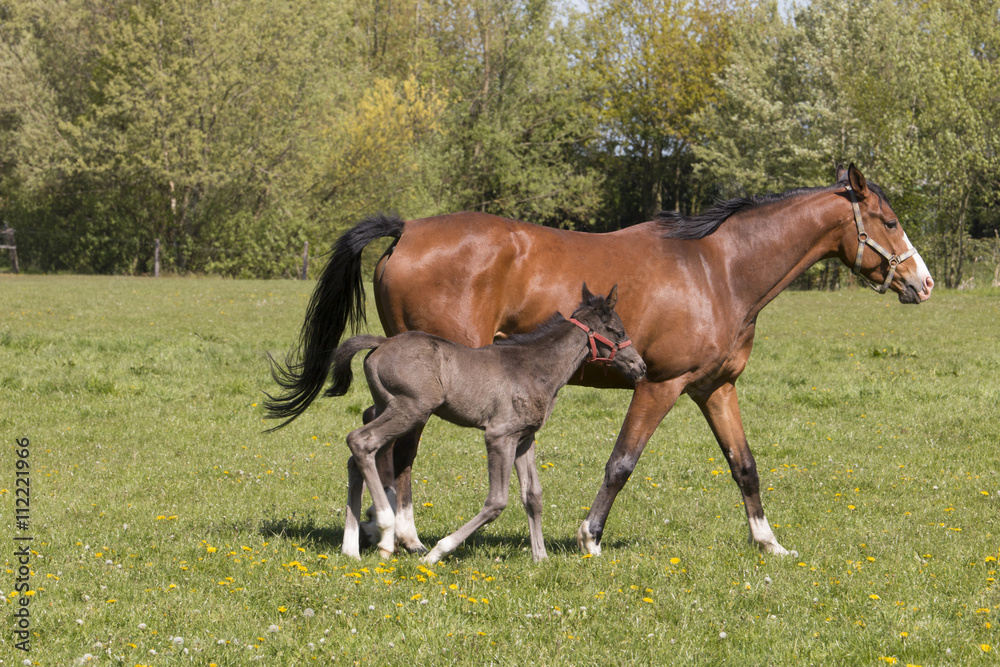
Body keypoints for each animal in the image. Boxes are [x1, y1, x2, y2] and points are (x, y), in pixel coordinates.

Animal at [330, 284, 648, 560]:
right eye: (618, 331)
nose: (641, 366)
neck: (534, 368)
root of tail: (382, 342)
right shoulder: (499, 436)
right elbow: (497, 501)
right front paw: (437, 552)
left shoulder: (524, 438)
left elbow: (533, 495)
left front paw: (541, 557)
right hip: (411, 409)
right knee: (361, 441)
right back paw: (385, 531)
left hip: (390, 407)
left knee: (356, 458)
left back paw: (351, 548)